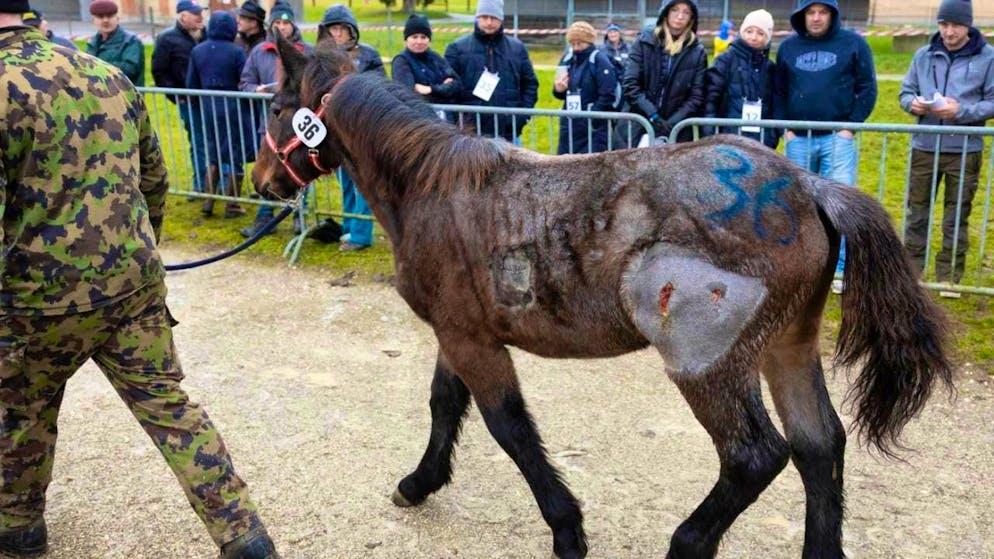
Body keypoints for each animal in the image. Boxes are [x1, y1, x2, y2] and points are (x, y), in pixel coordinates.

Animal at [252, 38, 953, 559]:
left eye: (280, 106)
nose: (259, 182)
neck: (434, 187)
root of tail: (808, 185)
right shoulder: (460, 332)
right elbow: (446, 405)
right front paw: (419, 483)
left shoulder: (472, 340)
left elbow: (509, 428)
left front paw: (567, 530)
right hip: (788, 347)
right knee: (819, 446)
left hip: (710, 363)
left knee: (754, 456)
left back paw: (687, 542)